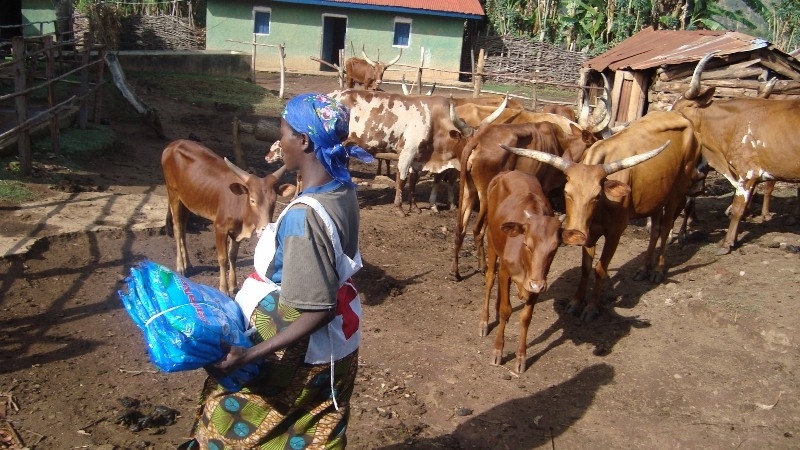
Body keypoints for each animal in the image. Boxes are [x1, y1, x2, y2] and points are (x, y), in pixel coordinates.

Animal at [161, 139, 294, 296]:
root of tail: (173, 144)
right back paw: (181, 266)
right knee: (177, 229)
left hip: (187, 201)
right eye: (253, 200)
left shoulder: (237, 232)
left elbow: (233, 256)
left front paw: (233, 285)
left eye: (274, 201)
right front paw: (223, 288)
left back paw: (188, 264)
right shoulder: (220, 228)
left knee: (182, 229)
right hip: (173, 194)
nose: (264, 229)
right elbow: (223, 258)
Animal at [482, 170, 562, 373]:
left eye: (554, 249)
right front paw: (497, 351)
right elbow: (506, 311)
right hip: (491, 240)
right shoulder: (506, 272)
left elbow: (526, 317)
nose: (535, 284)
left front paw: (520, 358)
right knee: (490, 278)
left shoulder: (538, 282)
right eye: (527, 244)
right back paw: (484, 321)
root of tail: (508, 172)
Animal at [501, 110, 702, 321]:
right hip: (656, 195)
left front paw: (591, 307)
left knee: (666, 227)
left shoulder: (615, 232)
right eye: (566, 191)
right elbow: (585, 268)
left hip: (678, 190)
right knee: (655, 229)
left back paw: (657, 270)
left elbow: (600, 268)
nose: (575, 234)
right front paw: (575, 303)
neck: (600, 210)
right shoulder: (590, 234)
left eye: (597, 195)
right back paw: (643, 269)